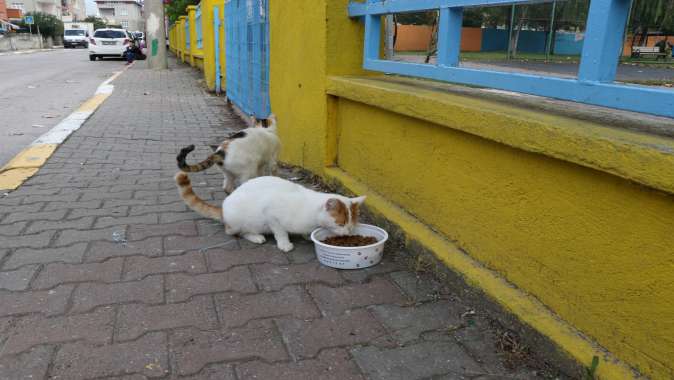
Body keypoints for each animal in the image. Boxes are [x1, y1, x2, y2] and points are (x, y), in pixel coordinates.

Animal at [173, 173, 362, 252]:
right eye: (340, 223)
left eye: (352, 224)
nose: (348, 233)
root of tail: (224, 209)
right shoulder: (271, 213)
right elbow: (280, 231)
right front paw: (284, 244)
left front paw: (307, 235)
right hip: (238, 221)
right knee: (235, 232)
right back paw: (255, 236)